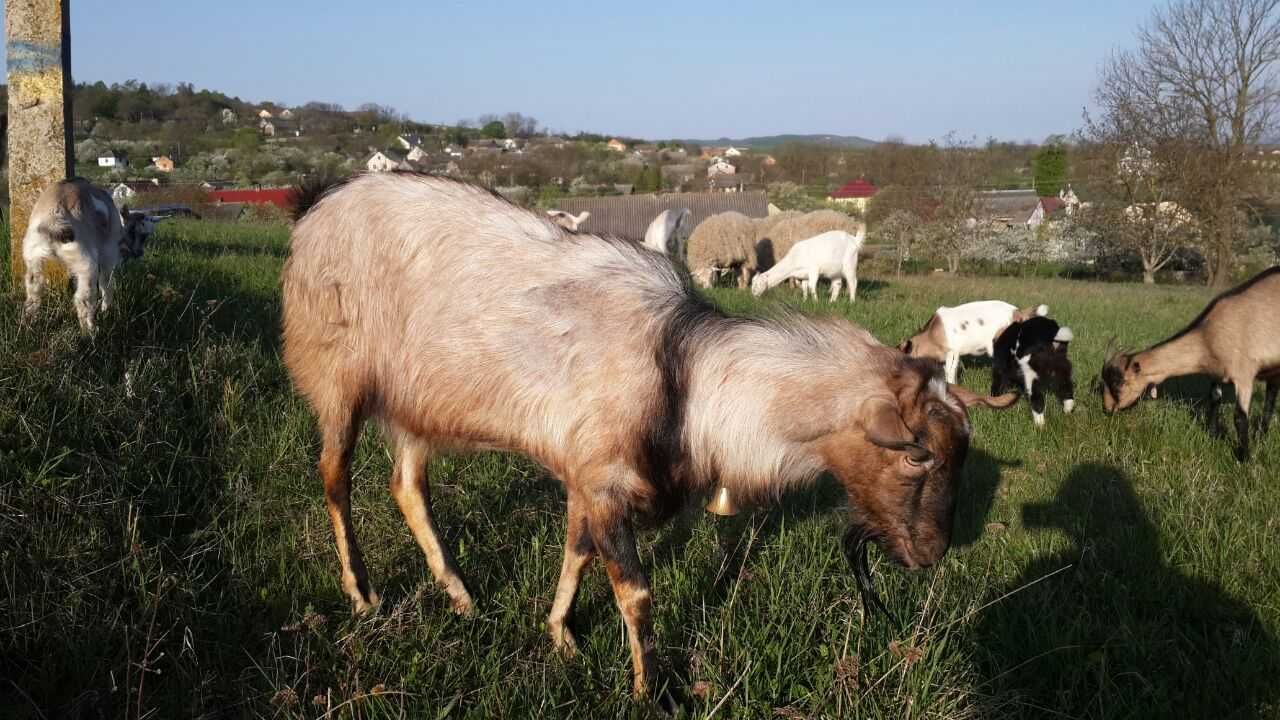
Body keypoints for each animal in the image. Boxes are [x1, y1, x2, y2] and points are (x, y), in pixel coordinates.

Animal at [22, 176, 154, 330]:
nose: (139, 252)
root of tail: (55, 217)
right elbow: (107, 284)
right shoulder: (109, 254)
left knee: (34, 290)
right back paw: (91, 331)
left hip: (33, 256)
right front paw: (107, 311)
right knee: (84, 298)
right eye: (139, 234)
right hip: (86, 262)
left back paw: (29, 324)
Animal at [282, 169, 1018, 696]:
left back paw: (460, 595)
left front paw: (561, 635)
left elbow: (576, 553)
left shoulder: (588, 477)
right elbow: (635, 593)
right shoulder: (605, 481)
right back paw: (363, 595)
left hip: (414, 404)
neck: (687, 375)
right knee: (334, 477)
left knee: (407, 486)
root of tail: (319, 205)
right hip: (337, 378)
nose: (931, 555)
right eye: (918, 454)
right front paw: (644, 689)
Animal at [1100, 265, 1280, 458]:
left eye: (1117, 382)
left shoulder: (1244, 375)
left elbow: (1239, 417)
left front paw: (1244, 457)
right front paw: (1213, 437)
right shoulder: (1217, 374)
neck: (1207, 337)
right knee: (1270, 400)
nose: (1107, 409)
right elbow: (1214, 399)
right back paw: (1261, 437)